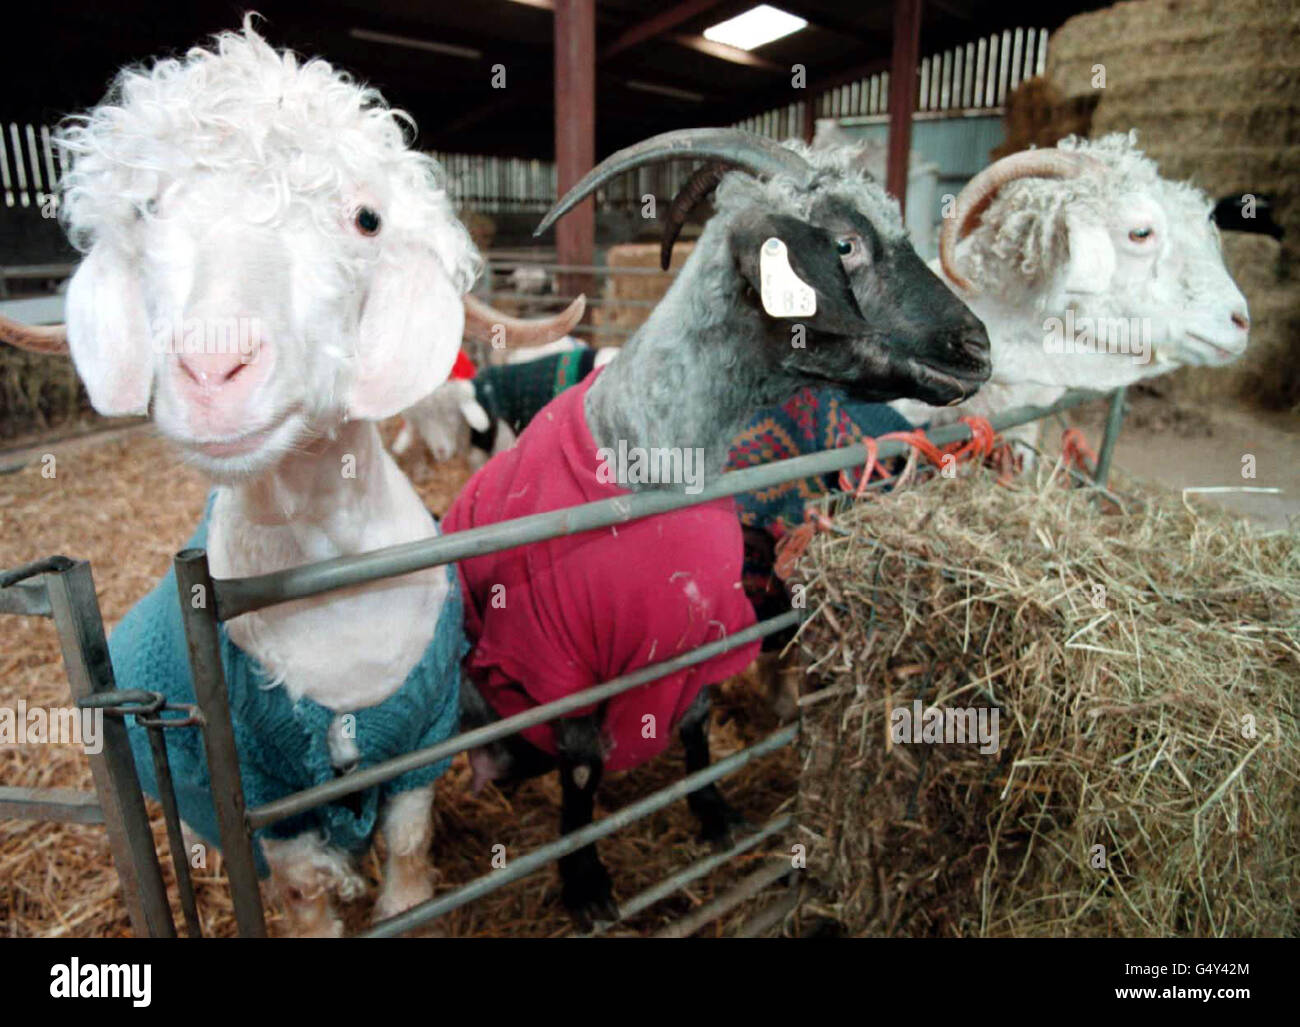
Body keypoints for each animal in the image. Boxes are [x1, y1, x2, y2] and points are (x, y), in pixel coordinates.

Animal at [0, 20, 579, 936]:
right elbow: (306, 893)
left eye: (368, 217)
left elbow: (408, 848)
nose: (211, 366)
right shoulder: (265, 797)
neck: (328, 577)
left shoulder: (424, 740)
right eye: (145, 212)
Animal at [442, 128, 992, 927]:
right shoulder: (561, 659)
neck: (649, 455)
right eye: (845, 244)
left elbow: (698, 727)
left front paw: (716, 817)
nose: (978, 346)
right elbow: (582, 774)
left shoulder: (703, 630)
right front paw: (587, 886)